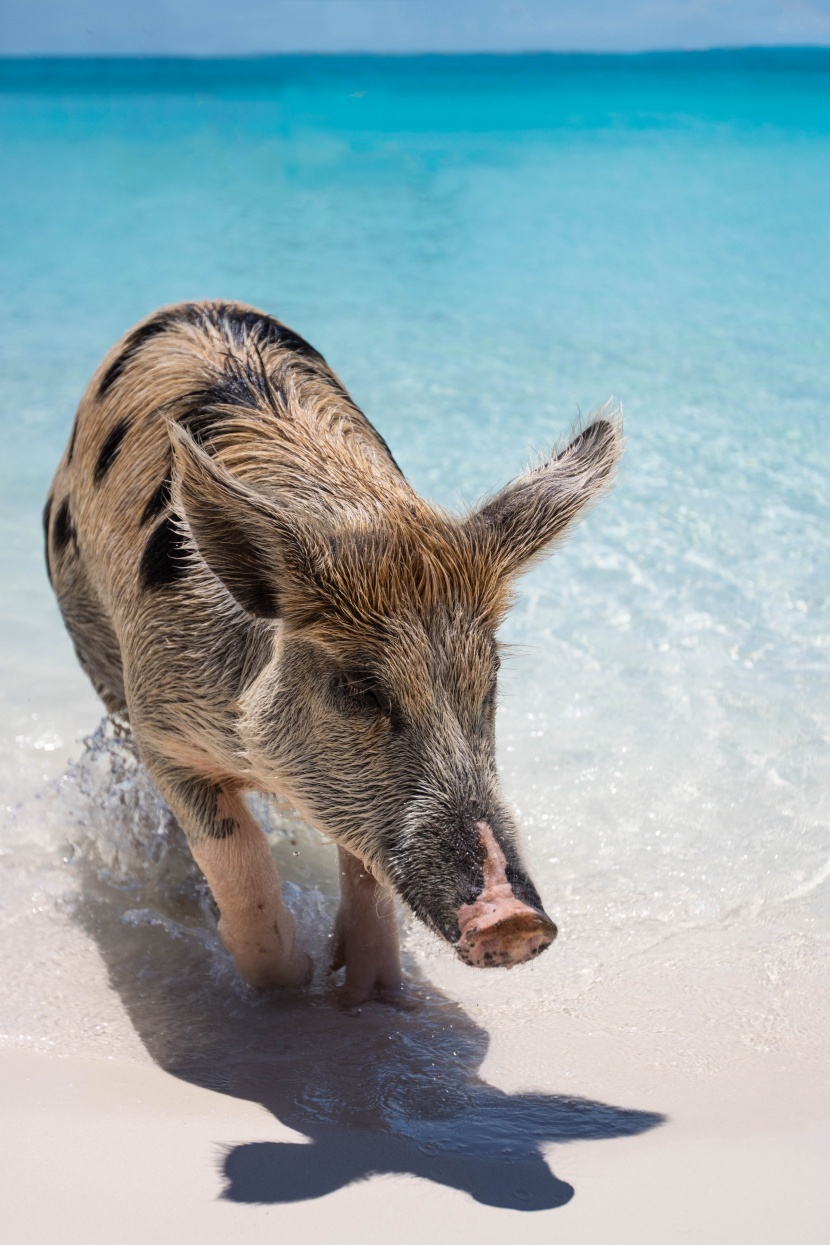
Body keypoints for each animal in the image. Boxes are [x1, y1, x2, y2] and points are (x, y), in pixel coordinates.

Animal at [42, 298, 619, 1000]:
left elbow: (364, 865)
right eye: (359, 687)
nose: (513, 920)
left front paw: (369, 991)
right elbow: (235, 853)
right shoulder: (161, 724)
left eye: (491, 679)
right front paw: (292, 979)